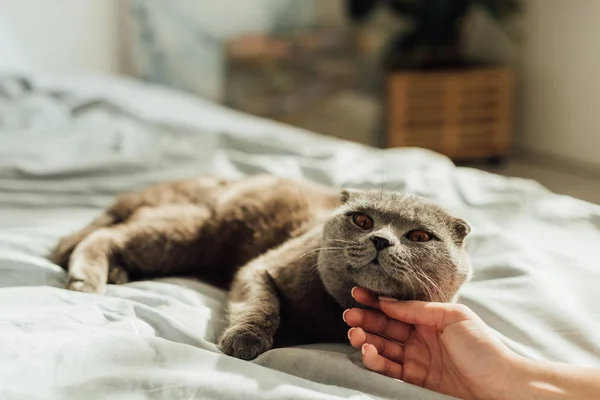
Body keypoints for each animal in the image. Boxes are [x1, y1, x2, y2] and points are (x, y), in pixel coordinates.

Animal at [49, 174, 472, 360]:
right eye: (363, 220)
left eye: (419, 236)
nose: (382, 240)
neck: (330, 314)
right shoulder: (261, 268)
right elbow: (263, 305)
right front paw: (246, 339)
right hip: (187, 231)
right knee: (105, 233)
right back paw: (86, 277)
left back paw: (114, 271)